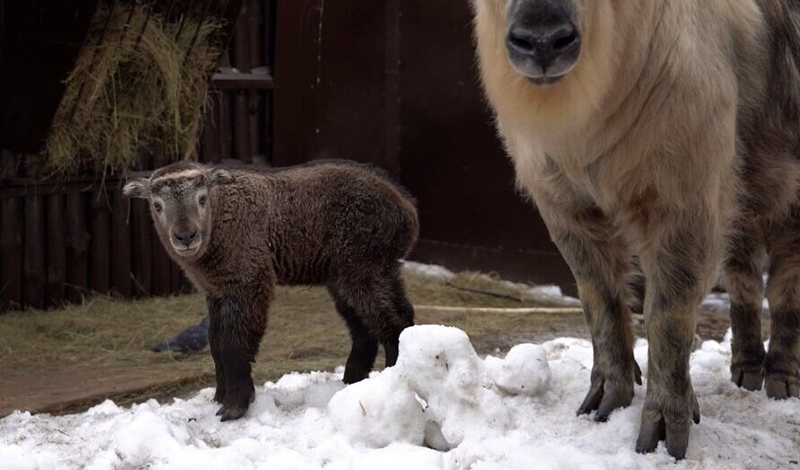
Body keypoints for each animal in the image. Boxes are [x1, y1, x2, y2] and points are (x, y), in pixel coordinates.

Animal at [122, 160, 418, 420]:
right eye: (157, 205)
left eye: (202, 198)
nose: (186, 236)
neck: (221, 214)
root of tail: (407, 210)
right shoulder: (216, 291)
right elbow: (216, 342)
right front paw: (218, 398)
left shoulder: (249, 282)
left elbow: (233, 345)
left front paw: (235, 406)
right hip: (363, 272)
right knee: (381, 323)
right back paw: (352, 383)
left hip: (361, 268)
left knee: (391, 324)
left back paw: (392, 381)